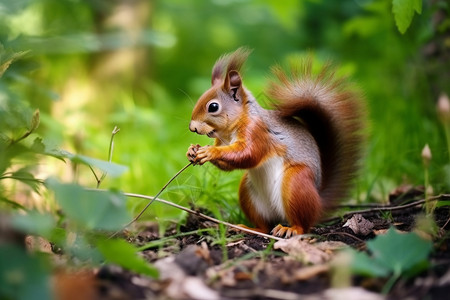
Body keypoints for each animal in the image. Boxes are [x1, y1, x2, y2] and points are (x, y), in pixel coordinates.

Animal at [186, 48, 366, 238]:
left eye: (213, 107)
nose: (192, 127)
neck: (230, 131)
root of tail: (318, 201)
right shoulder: (222, 140)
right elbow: (229, 165)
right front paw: (192, 150)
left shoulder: (257, 132)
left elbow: (248, 154)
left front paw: (209, 152)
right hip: (248, 191)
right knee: (264, 226)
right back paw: (248, 228)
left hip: (296, 183)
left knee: (304, 225)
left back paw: (291, 229)